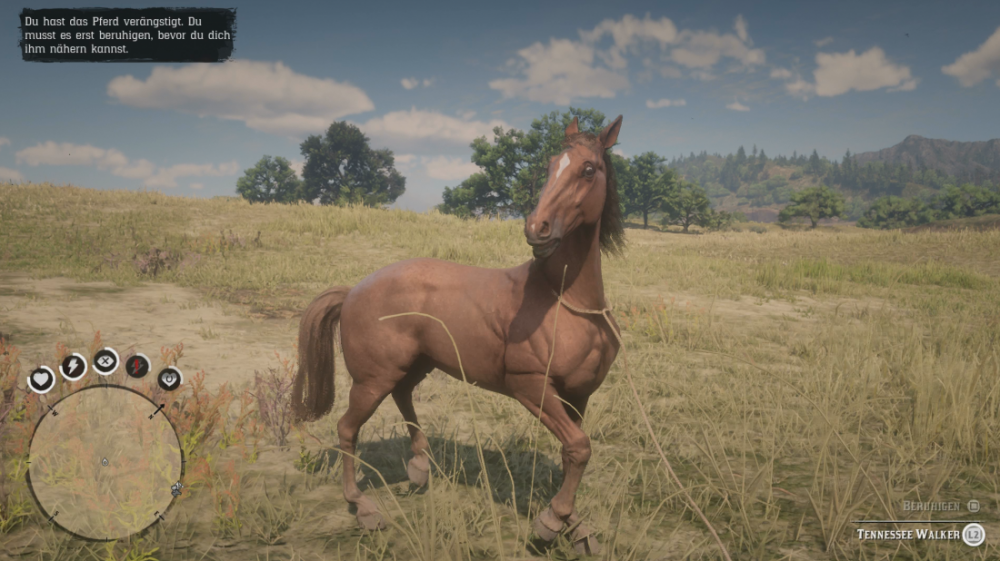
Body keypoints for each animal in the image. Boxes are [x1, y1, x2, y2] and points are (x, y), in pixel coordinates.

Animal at [292, 115, 625, 554]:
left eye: (589, 169)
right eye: (551, 165)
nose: (537, 228)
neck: (565, 301)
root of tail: (353, 292)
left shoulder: (577, 395)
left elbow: (572, 452)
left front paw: (574, 527)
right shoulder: (531, 387)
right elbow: (580, 447)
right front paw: (553, 522)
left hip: (416, 365)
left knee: (402, 396)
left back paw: (419, 466)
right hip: (372, 379)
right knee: (347, 429)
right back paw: (364, 508)